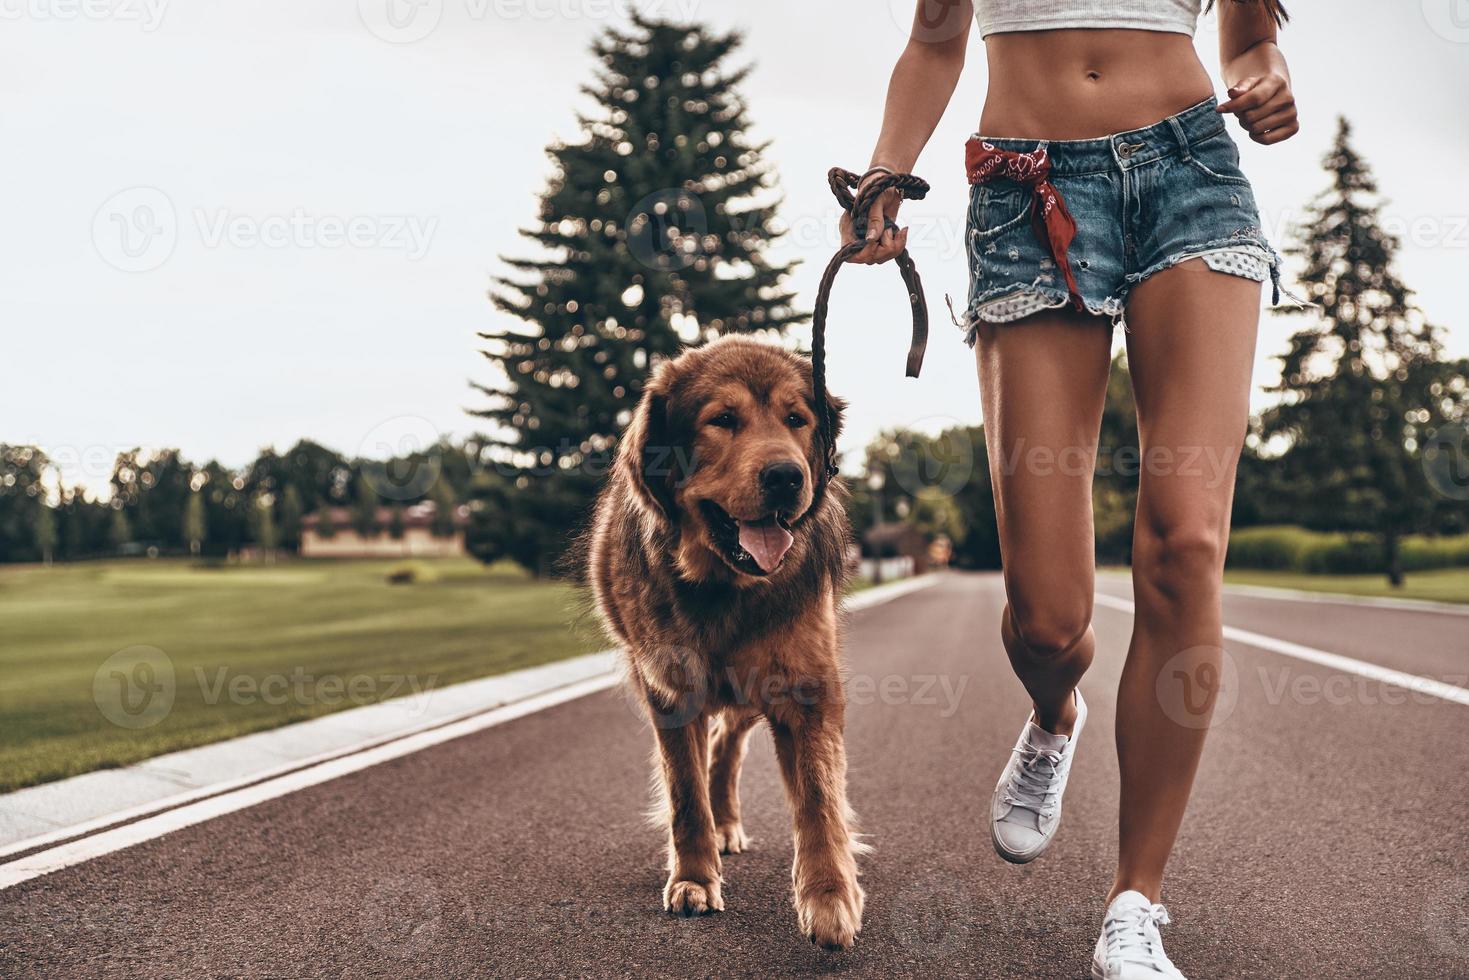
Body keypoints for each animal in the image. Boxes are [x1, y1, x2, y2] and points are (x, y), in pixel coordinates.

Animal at [584, 337, 857, 952]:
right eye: (724, 420)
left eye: (796, 419)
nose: (786, 477)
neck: (724, 587)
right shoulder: (669, 690)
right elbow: (685, 793)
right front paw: (693, 878)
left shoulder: (805, 688)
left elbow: (818, 799)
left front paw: (829, 898)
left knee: (728, 746)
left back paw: (729, 820)